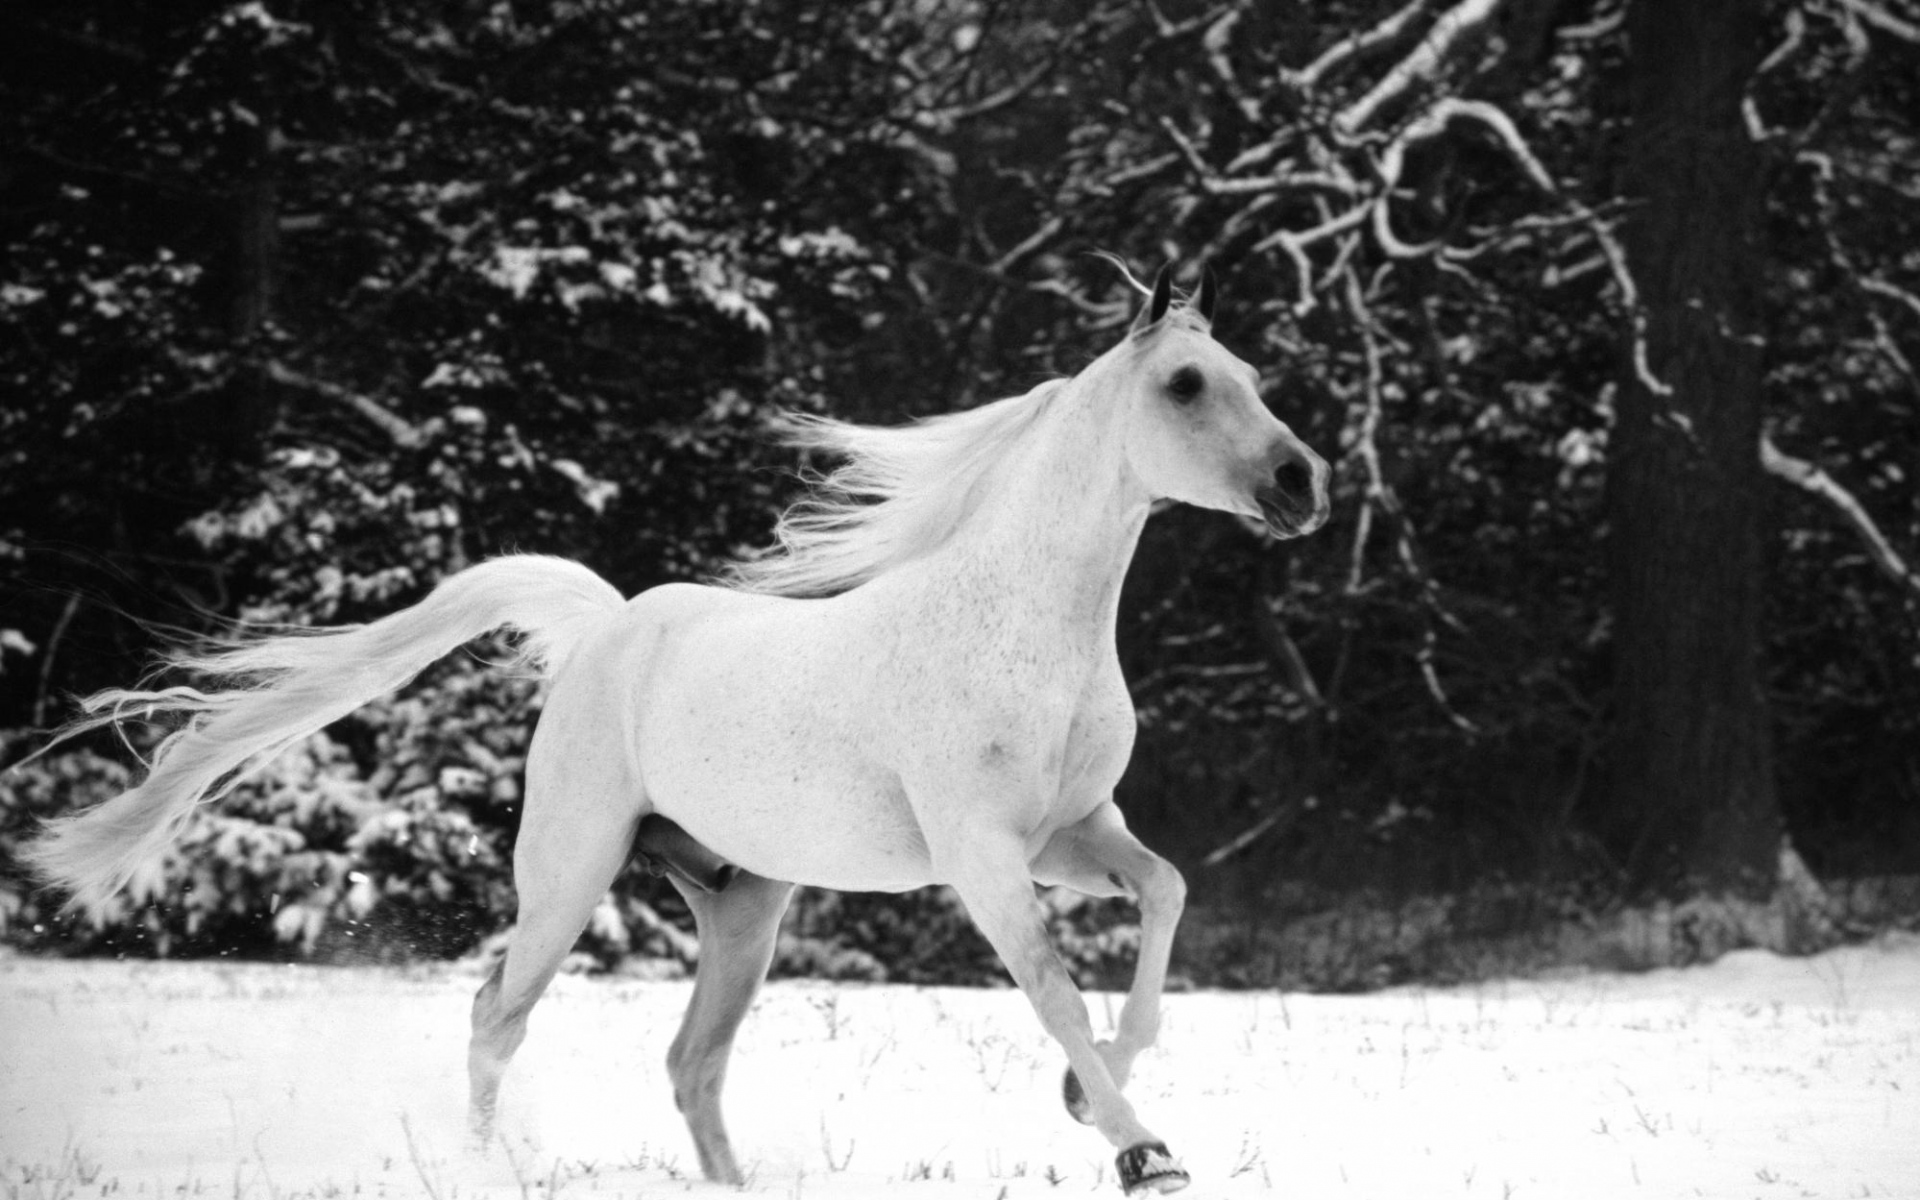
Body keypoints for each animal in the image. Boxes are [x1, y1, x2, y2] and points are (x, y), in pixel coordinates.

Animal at [25, 266, 1330, 1195]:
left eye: (1252, 372)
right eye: (1185, 385)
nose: (1301, 483)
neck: (1020, 626)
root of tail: (607, 628)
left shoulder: (1075, 833)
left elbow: (1164, 898)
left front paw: (1080, 1094)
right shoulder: (983, 856)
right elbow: (1054, 988)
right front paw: (1141, 1151)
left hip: (744, 906)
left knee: (690, 1064)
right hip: (569, 871)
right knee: (498, 1017)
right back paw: (486, 1168)